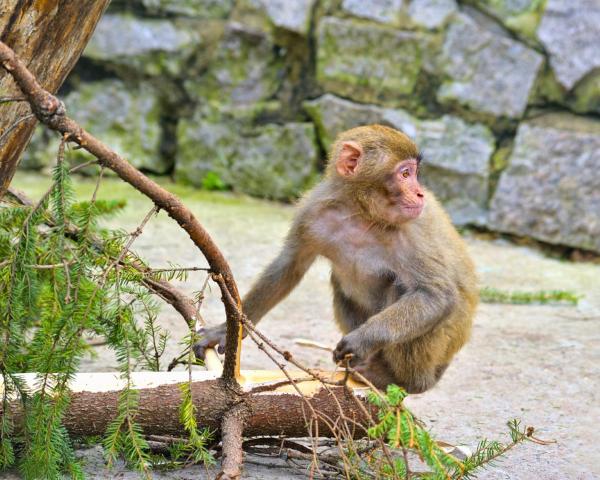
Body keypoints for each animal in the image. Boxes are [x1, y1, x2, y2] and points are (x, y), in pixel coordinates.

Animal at [197, 124, 478, 394]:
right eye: (406, 174)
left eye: (413, 173)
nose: (420, 194)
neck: (360, 214)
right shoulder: (311, 213)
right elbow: (288, 267)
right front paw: (225, 329)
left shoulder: (412, 230)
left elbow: (435, 294)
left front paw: (362, 340)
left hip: (441, 346)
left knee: (402, 287)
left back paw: (404, 380)